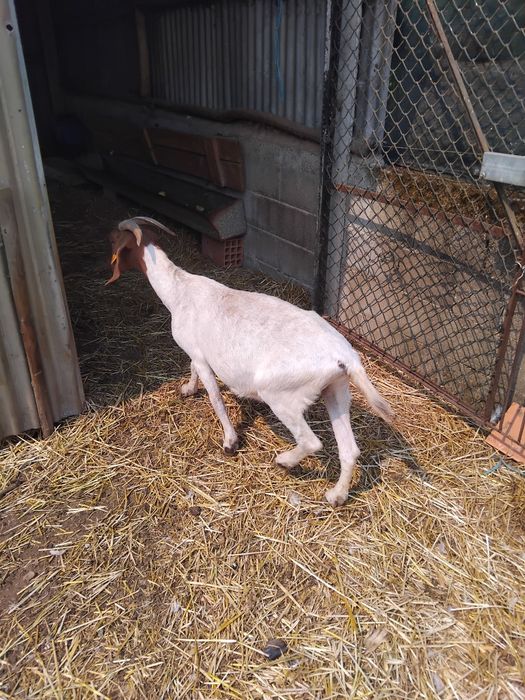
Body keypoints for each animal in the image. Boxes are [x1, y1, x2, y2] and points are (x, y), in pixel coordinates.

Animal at [106, 217, 394, 506]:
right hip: (336, 390)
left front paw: (230, 442)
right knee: (349, 449)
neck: (179, 290)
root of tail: (346, 357)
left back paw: (284, 461)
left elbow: (215, 398)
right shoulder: (196, 352)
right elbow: (191, 369)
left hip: (281, 393)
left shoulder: (200, 356)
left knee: (311, 442)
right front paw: (188, 389)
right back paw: (337, 495)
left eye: (115, 242)